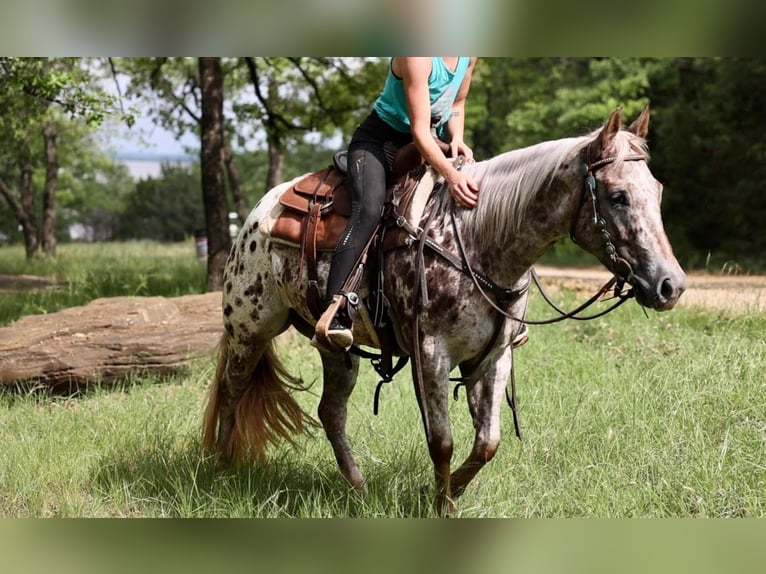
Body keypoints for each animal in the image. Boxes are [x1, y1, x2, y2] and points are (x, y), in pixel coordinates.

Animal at [201, 106, 688, 516]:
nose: (671, 285)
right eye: (618, 195)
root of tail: (258, 214)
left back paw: (357, 488)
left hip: (336, 350)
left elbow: (486, 443)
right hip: (249, 330)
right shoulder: (431, 354)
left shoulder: (493, 358)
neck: (476, 239)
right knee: (232, 390)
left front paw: (439, 492)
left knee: (330, 412)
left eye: (658, 190)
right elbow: (443, 441)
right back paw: (220, 470)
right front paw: (441, 506)